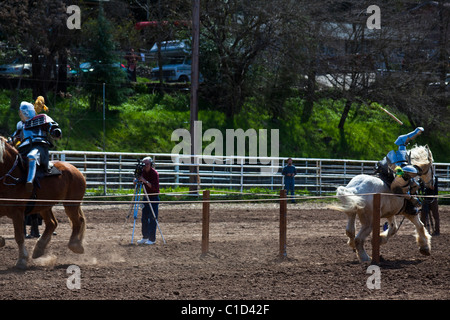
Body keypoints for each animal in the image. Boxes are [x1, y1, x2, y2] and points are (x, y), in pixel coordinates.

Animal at [0, 136, 86, 268]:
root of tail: (75, 169)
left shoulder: (17, 212)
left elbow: (19, 236)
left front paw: (22, 260)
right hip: (45, 206)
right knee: (52, 223)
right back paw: (39, 249)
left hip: (71, 203)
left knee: (78, 221)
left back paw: (75, 245)